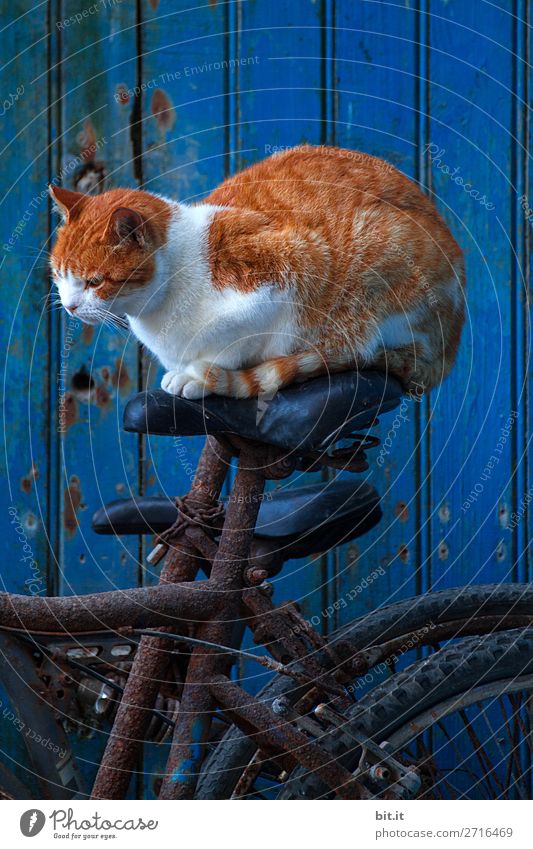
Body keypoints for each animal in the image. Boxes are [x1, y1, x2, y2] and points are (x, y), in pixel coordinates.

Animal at [51, 145, 466, 398]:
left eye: (94, 282)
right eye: (59, 276)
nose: (69, 307)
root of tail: (449, 351)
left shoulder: (291, 269)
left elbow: (236, 346)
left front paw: (200, 375)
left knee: (353, 348)